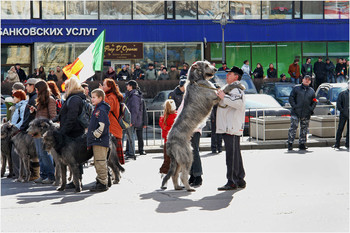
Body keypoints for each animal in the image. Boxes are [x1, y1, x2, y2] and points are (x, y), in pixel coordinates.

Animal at [161, 61, 243, 192]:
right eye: (206, 65)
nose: (215, 69)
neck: (196, 80)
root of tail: (169, 143)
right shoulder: (214, 96)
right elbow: (224, 88)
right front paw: (237, 84)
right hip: (187, 155)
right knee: (183, 175)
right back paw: (189, 187)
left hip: (178, 160)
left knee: (174, 174)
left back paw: (178, 187)